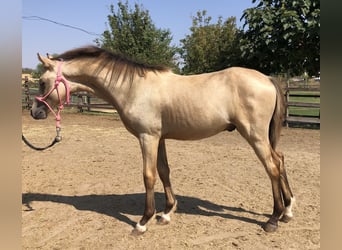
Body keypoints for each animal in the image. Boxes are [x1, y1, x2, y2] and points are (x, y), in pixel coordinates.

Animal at [30, 46, 296, 234]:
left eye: (42, 82)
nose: (35, 112)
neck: (132, 87)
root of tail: (267, 79)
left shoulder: (147, 137)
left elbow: (148, 175)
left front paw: (143, 221)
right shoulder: (160, 138)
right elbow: (164, 170)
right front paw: (166, 213)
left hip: (254, 135)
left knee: (272, 167)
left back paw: (273, 219)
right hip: (263, 137)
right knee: (281, 160)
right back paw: (288, 210)